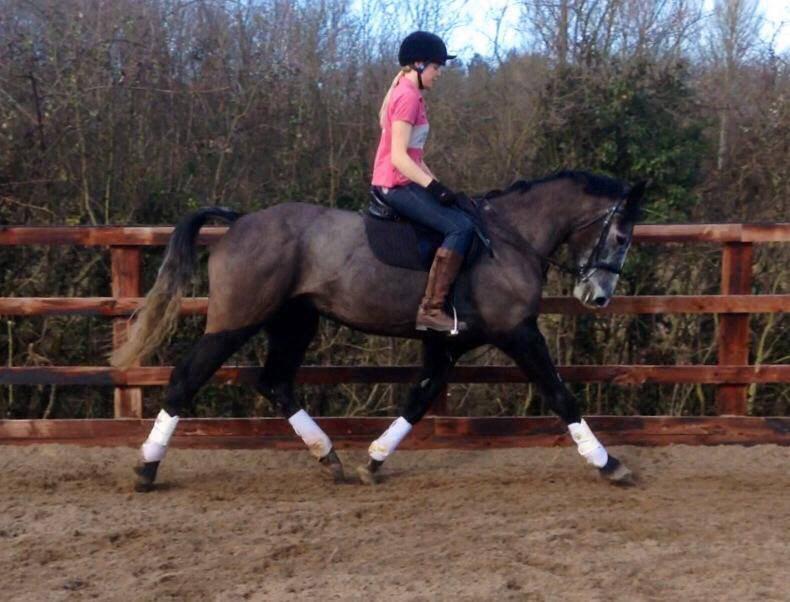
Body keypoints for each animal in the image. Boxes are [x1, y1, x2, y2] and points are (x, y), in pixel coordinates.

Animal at [112, 170, 646, 491]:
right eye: (621, 236)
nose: (598, 296)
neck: (509, 240)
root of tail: (240, 222)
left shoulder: (447, 346)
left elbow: (419, 399)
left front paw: (373, 460)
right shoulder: (519, 333)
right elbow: (560, 394)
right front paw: (609, 463)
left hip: (296, 321)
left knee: (275, 382)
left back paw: (329, 457)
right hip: (235, 321)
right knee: (186, 379)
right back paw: (147, 467)